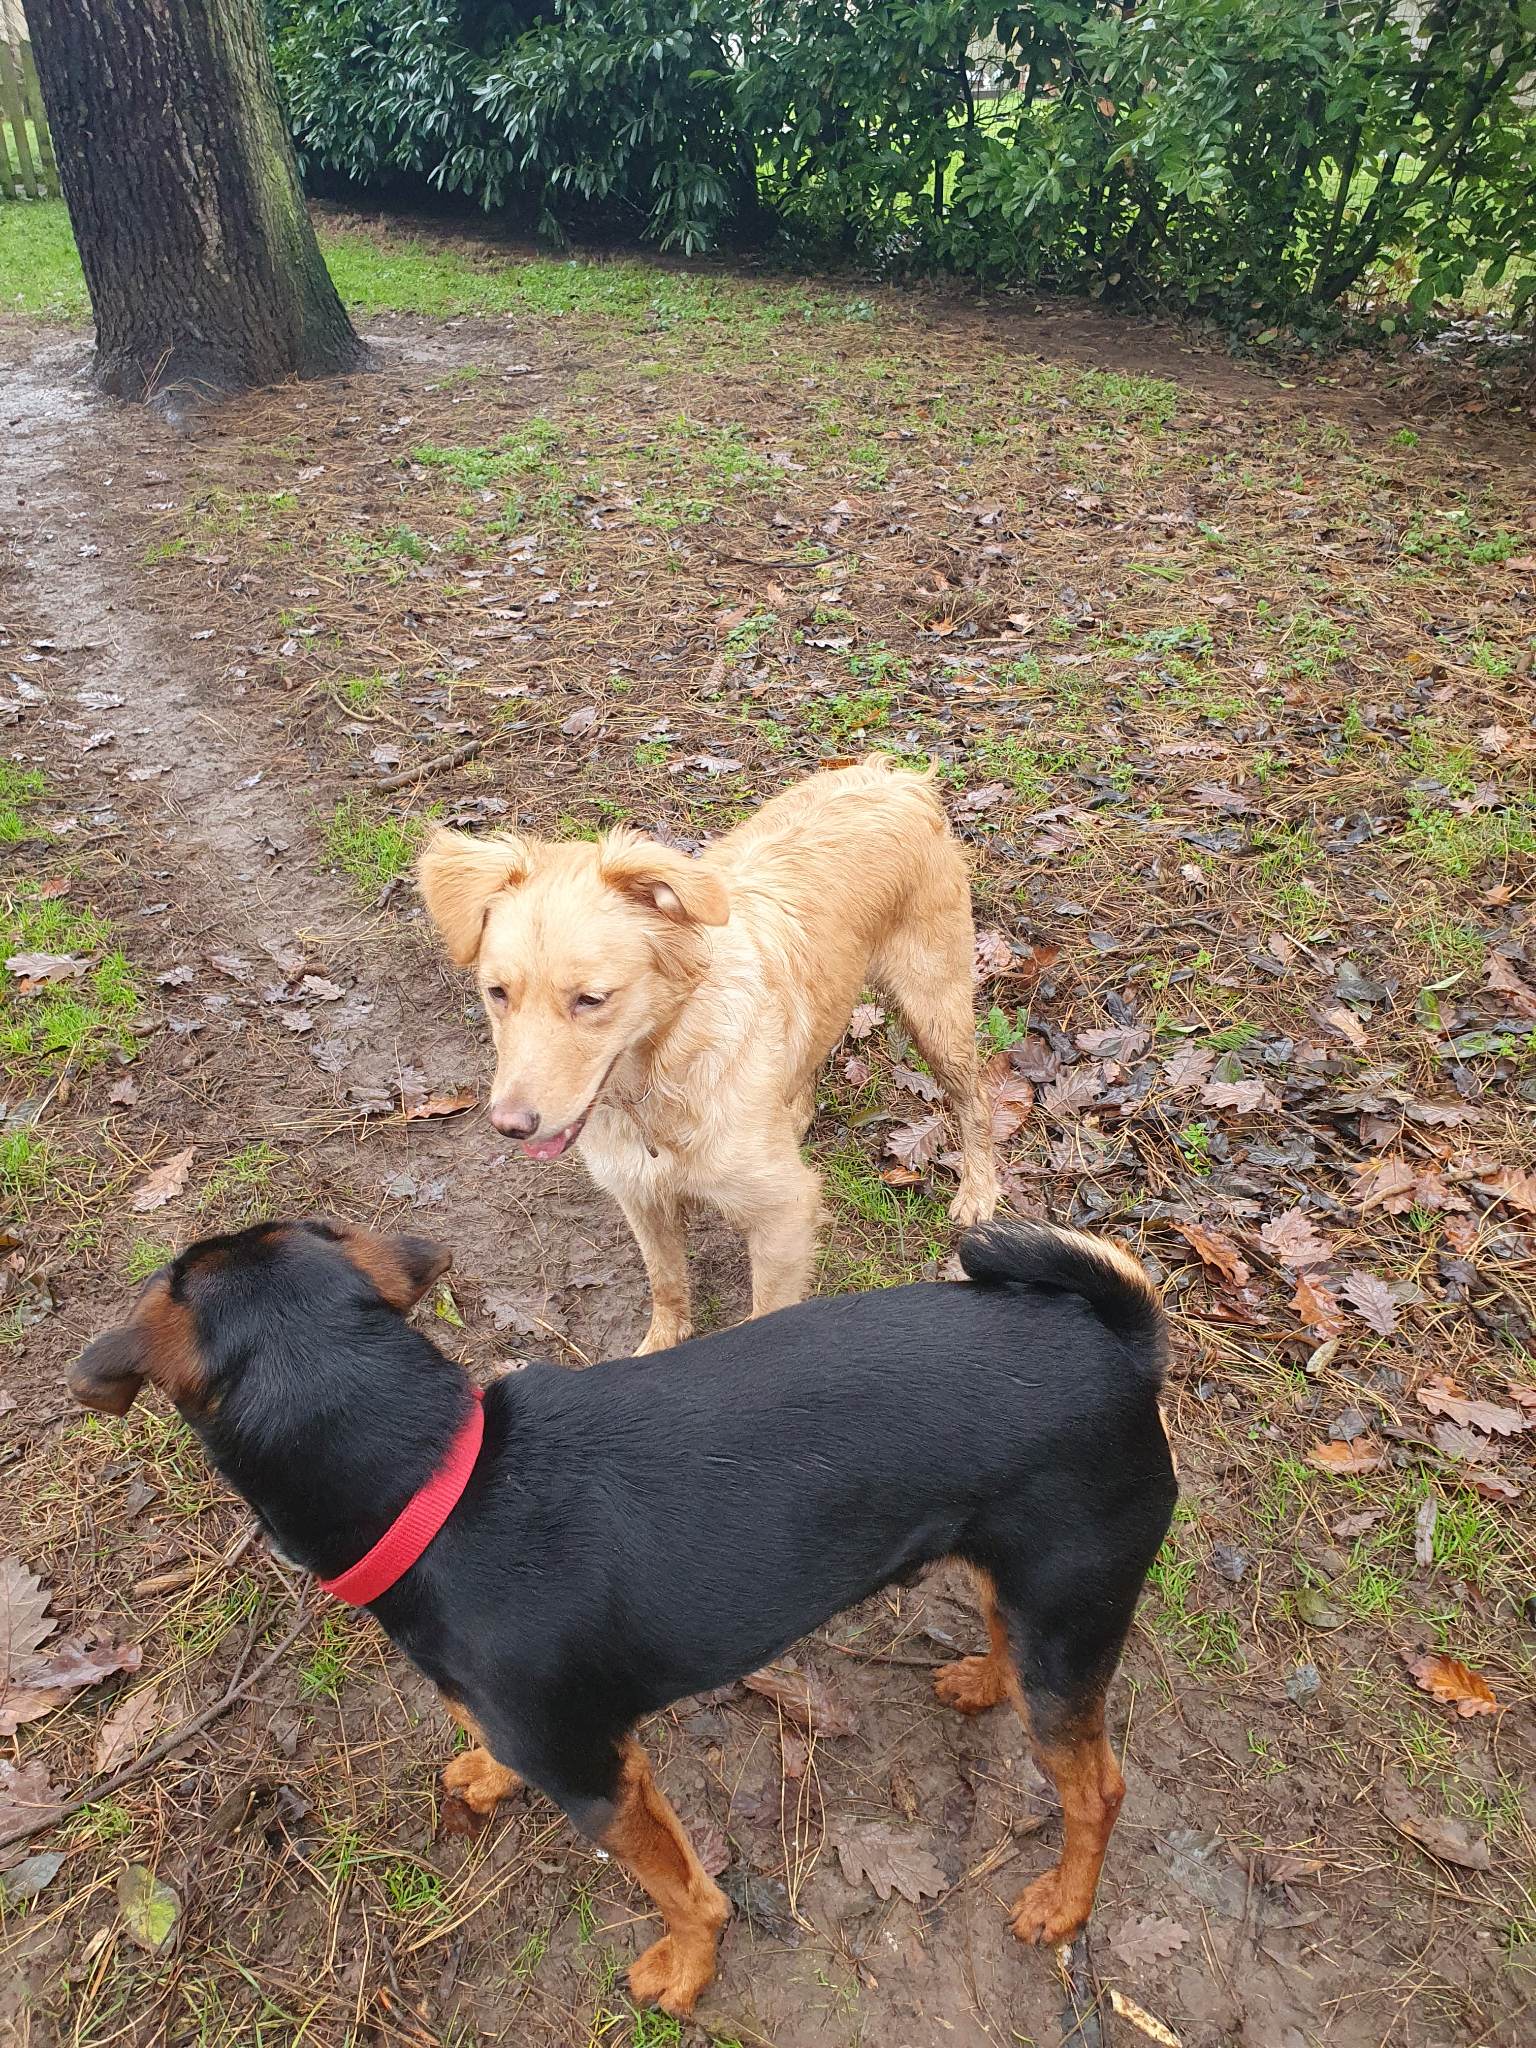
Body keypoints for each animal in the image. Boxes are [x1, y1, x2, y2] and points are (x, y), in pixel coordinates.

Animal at [70, 1217, 1175, 2017]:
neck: (439, 1484)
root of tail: (1120, 1346)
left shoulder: (602, 1777)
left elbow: (685, 1892)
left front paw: (685, 1972)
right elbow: (493, 1742)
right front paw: (486, 1774)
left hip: (1072, 1618)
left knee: (1101, 1788)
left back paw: (1063, 1902)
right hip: (1027, 1591)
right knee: (1010, 1642)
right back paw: (983, 1679)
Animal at [417, 757, 999, 1352]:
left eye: (591, 999)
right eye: (497, 993)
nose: (510, 1125)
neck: (661, 1071)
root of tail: (899, 778)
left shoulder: (787, 1211)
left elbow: (767, 1313)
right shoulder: (640, 1196)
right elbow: (666, 1283)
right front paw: (660, 1342)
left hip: (934, 1011)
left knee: (975, 1100)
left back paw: (980, 1190)